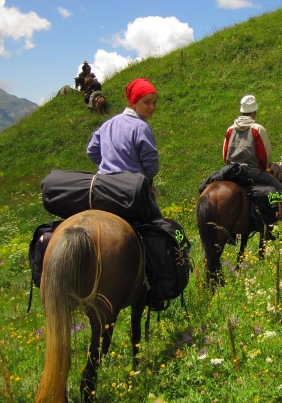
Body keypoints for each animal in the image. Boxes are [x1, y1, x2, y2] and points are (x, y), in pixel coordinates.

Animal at [34, 210, 148, 403]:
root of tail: (79, 229)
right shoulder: (138, 301)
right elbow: (136, 336)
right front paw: (136, 372)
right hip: (104, 321)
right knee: (89, 373)